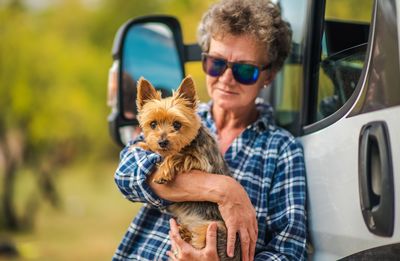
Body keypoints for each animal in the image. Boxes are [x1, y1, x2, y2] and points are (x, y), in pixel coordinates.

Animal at [134, 74, 241, 258]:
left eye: (177, 124)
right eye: (153, 124)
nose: (162, 142)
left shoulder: (201, 160)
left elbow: (177, 156)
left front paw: (162, 172)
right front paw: (143, 145)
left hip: (217, 229)